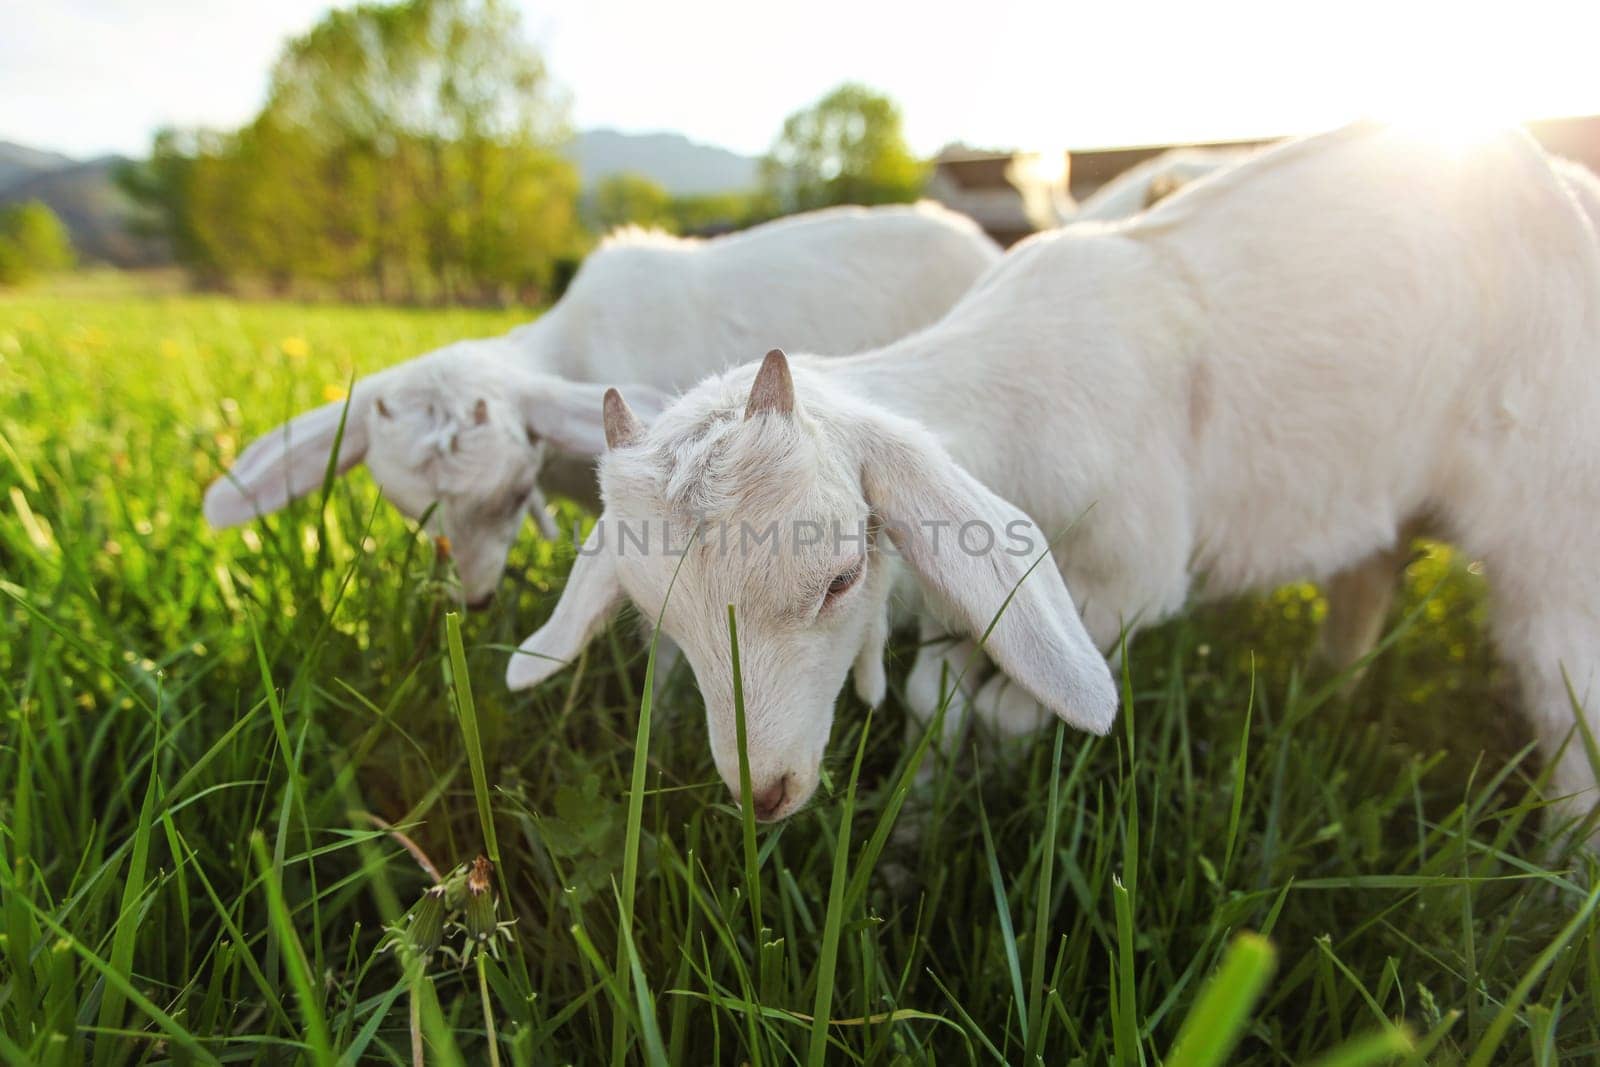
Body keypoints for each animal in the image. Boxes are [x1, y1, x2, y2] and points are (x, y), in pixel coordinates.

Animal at [505, 125, 1600, 825]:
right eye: (660, 614)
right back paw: (1330, 693)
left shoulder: (1127, 579)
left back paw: (1561, 863)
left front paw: (989, 767)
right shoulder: (971, 583)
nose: (764, 794)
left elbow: (1004, 703)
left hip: (1554, 504)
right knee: (1368, 574)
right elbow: (934, 700)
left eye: (840, 578)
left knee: (1565, 695)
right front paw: (918, 833)